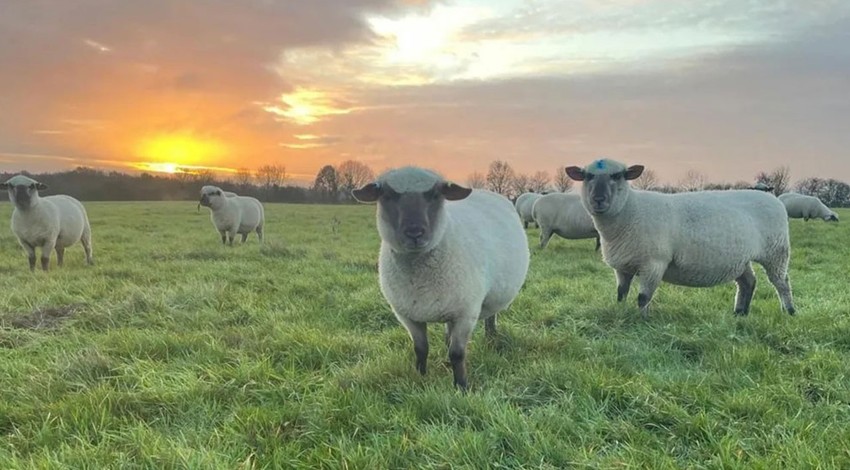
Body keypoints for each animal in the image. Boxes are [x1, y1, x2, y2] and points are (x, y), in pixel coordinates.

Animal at [352, 167, 528, 392]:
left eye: (435, 195)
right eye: (387, 195)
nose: (415, 233)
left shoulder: (466, 313)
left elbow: (457, 353)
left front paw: (462, 387)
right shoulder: (408, 315)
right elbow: (420, 348)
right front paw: (420, 376)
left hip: (491, 297)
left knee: (490, 318)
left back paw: (491, 339)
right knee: (447, 335)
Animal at [564, 160, 796, 318]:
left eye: (617, 175)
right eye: (587, 176)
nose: (598, 200)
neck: (630, 209)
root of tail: (772, 198)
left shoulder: (654, 263)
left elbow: (642, 298)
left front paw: (641, 320)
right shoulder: (622, 266)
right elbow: (621, 293)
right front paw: (620, 312)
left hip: (776, 252)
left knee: (782, 283)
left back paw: (789, 311)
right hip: (740, 258)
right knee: (748, 282)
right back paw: (740, 313)